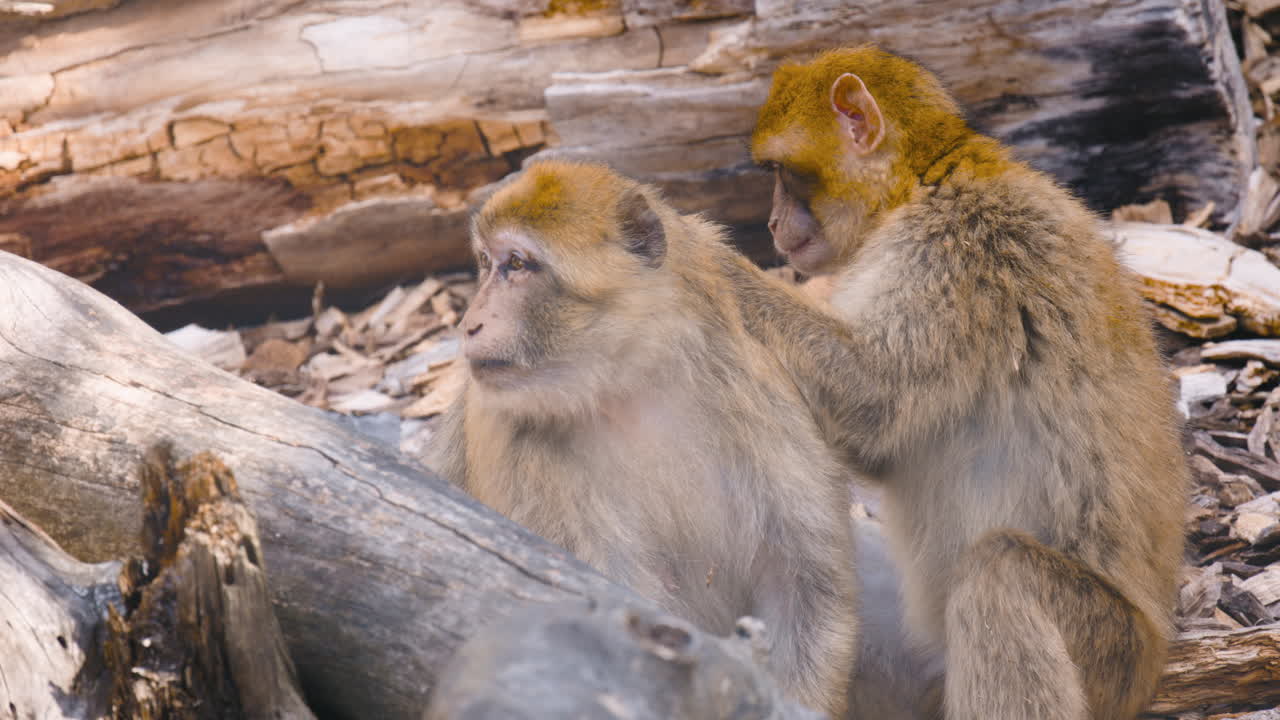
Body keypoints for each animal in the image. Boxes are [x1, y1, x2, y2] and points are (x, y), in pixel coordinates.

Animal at [426, 160, 859, 717]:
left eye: (517, 264)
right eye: (485, 263)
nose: (469, 323)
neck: (625, 384)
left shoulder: (757, 391)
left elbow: (805, 590)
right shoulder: (518, 444)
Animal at [731, 46, 1189, 720]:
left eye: (783, 172)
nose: (769, 222)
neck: (918, 185)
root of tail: (1158, 656)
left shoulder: (950, 248)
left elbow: (878, 403)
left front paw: (688, 241)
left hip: (1113, 655)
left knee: (1001, 574)